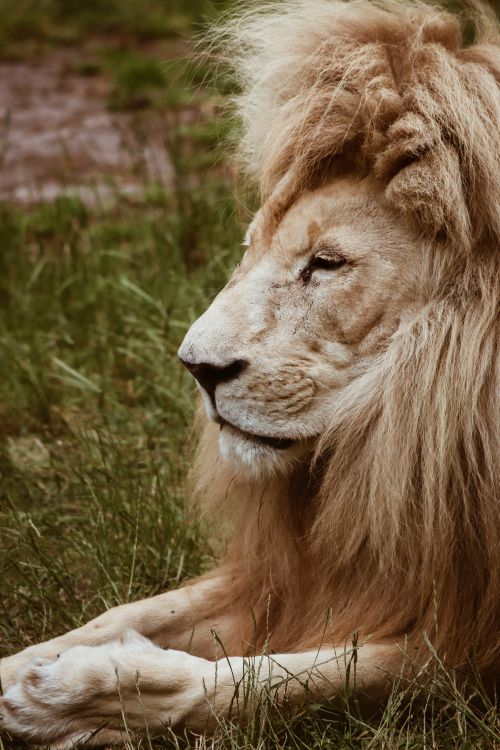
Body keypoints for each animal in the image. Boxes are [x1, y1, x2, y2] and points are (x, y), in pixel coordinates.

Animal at [1, 0, 498, 746]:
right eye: (249, 246)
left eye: (326, 263)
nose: (196, 369)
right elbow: (133, 611)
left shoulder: (467, 648)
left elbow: (289, 678)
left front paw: (80, 696)